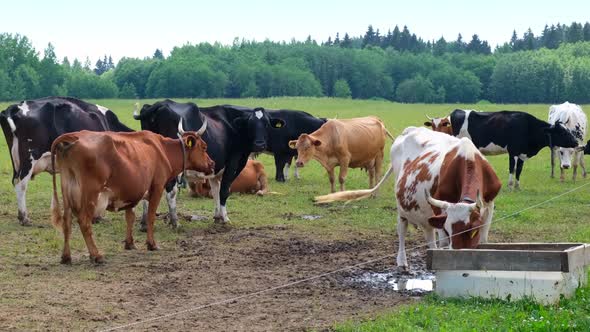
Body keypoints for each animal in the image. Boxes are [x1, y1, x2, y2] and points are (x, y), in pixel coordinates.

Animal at [0, 96, 133, 226]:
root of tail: (15, 107)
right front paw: (96, 217)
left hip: (16, 161)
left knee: (15, 180)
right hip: (29, 158)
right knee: (21, 184)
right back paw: (24, 218)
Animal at [51, 124, 215, 264]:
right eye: (204, 147)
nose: (212, 163)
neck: (163, 150)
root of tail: (75, 136)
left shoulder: (131, 191)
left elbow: (130, 217)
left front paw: (130, 243)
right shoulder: (157, 187)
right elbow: (150, 217)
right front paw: (151, 244)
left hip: (67, 192)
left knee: (67, 222)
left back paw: (66, 257)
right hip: (90, 195)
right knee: (84, 222)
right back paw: (96, 255)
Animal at [135, 98, 288, 223]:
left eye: (267, 124)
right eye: (250, 124)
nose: (260, 144)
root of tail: (160, 104)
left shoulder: (216, 170)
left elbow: (215, 191)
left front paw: (217, 216)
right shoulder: (232, 164)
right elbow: (224, 191)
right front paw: (225, 218)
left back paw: (144, 222)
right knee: (171, 192)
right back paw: (174, 221)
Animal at [426, 109, 580, 189]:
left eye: (568, 130)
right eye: (563, 132)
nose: (576, 141)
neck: (528, 127)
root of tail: (456, 111)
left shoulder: (522, 153)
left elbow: (519, 170)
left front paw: (517, 186)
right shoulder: (513, 151)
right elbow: (512, 168)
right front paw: (510, 186)